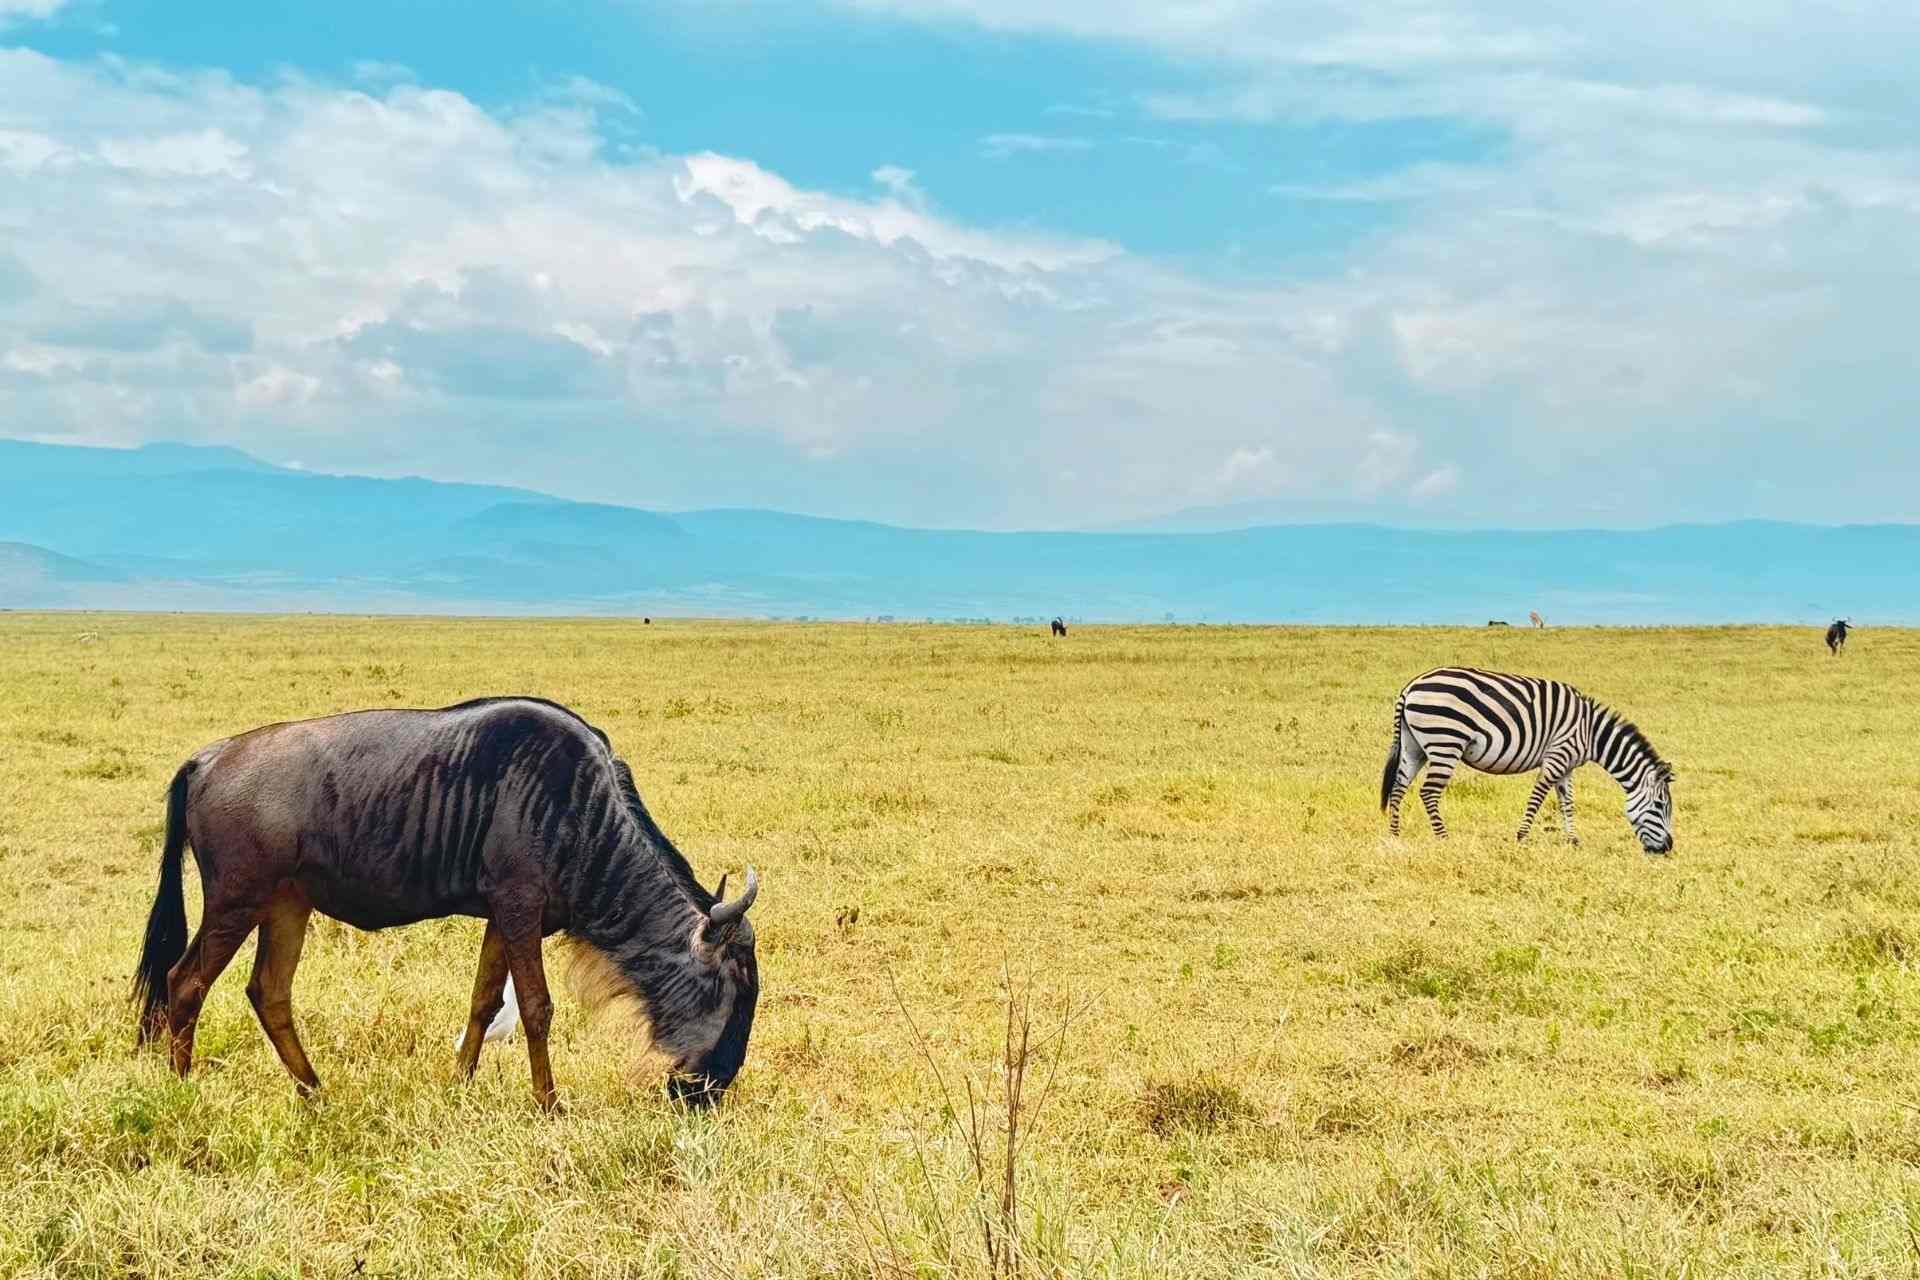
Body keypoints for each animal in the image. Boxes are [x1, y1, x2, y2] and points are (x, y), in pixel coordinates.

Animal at [1379, 667, 1674, 854]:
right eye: (1660, 806)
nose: (1667, 848)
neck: (1590, 733)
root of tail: (1411, 686)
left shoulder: (1567, 767)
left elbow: (1567, 803)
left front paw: (1573, 841)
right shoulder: (1558, 756)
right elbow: (1537, 797)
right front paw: (1521, 837)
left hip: (1414, 746)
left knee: (1398, 787)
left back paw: (1395, 836)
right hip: (1446, 741)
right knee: (1428, 792)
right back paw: (1444, 838)